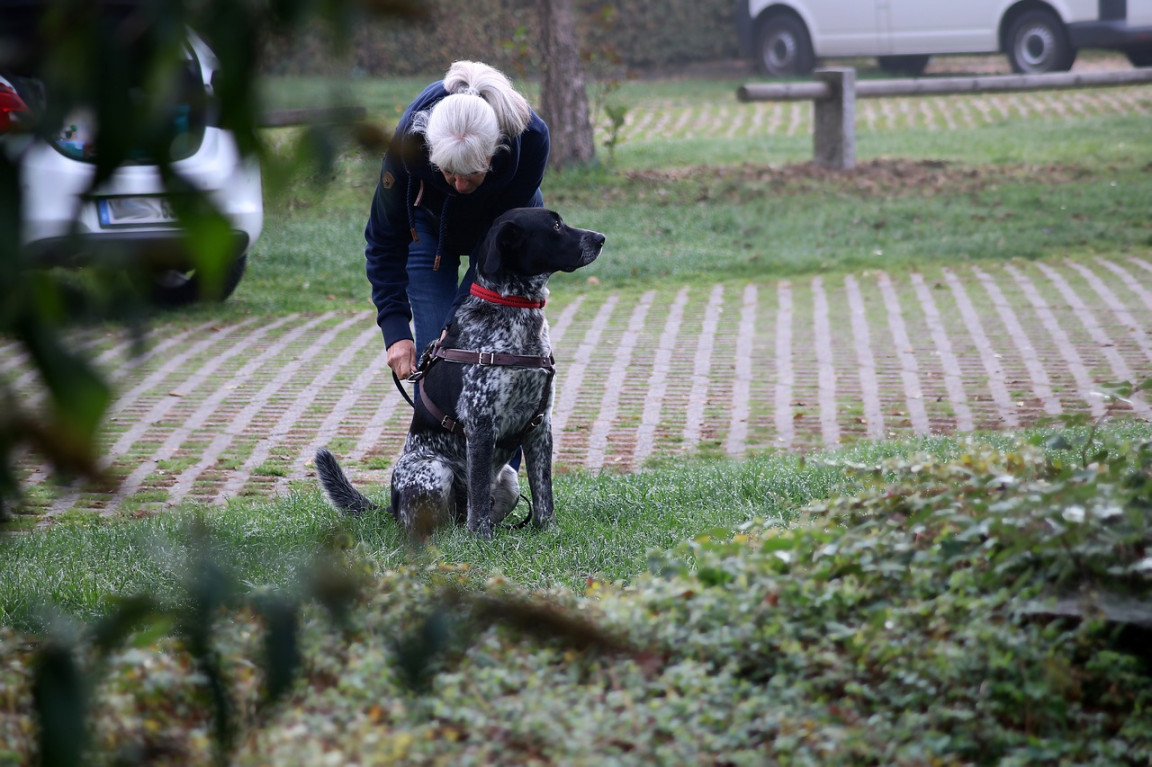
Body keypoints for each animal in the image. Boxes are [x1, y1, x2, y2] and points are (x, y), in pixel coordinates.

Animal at [313, 206, 603, 534]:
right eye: (555, 226)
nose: (601, 238)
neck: (514, 312)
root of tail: (391, 508)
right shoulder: (481, 423)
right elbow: (479, 493)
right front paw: (481, 537)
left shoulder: (541, 426)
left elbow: (544, 494)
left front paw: (548, 531)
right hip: (433, 469)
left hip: (509, 479)